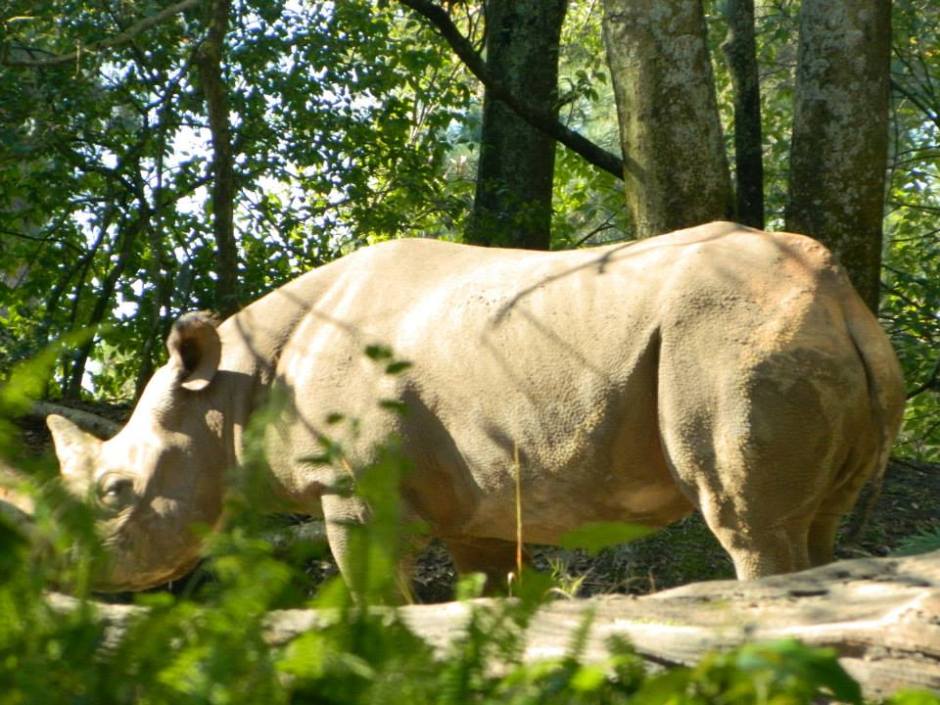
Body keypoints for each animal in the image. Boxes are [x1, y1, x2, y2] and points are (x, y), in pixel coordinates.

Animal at [47, 222, 905, 593]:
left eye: (114, 492)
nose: (68, 576)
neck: (230, 390)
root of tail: (838, 295)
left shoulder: (355, 492)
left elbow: (376, 597)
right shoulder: (483, 506)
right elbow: (481, 603)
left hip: (732, 337)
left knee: (750, 527)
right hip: (799, 337)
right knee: (817, 527)